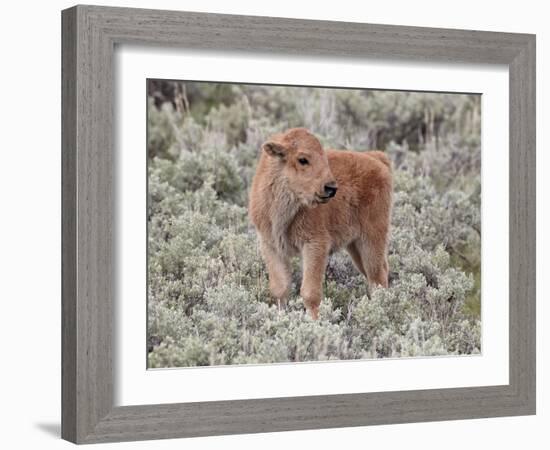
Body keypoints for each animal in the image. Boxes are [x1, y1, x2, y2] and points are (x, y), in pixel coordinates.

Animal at [250, 127, 392, 320]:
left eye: (324, 157)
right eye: (302, 159)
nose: (331, 188)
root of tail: (378, 159)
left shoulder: (315, 245)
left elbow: (310, 292)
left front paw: (315, 322)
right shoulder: (271, 246)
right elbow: (280, 288)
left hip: (371, 240)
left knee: (378, 277)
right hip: (355, 246)